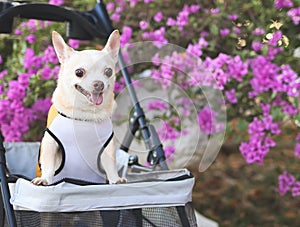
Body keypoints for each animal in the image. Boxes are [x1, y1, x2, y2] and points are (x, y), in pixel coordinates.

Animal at [32, 30, 126, 185]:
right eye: (79, 72)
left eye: (108, 72)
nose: (99, 84)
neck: (85, 115)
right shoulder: (50, 143)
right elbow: (49, 164)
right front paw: (45, 179)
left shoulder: (107, 148)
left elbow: (111, 165)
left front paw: (115, 179)